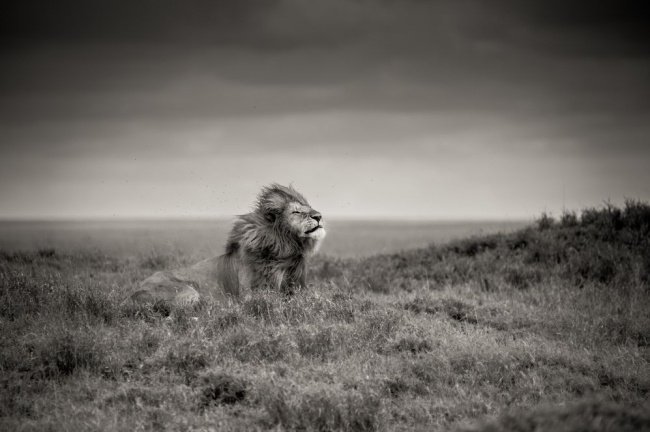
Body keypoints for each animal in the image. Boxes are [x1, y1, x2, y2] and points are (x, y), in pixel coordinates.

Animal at [128, 184, 326, 305]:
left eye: (310, 208)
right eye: (296, 212)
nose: (319, 216)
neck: (284, 250)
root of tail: (130, 295)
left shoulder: (297, 285)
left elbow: (313, 296)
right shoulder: (251, 295)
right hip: (189, 293)